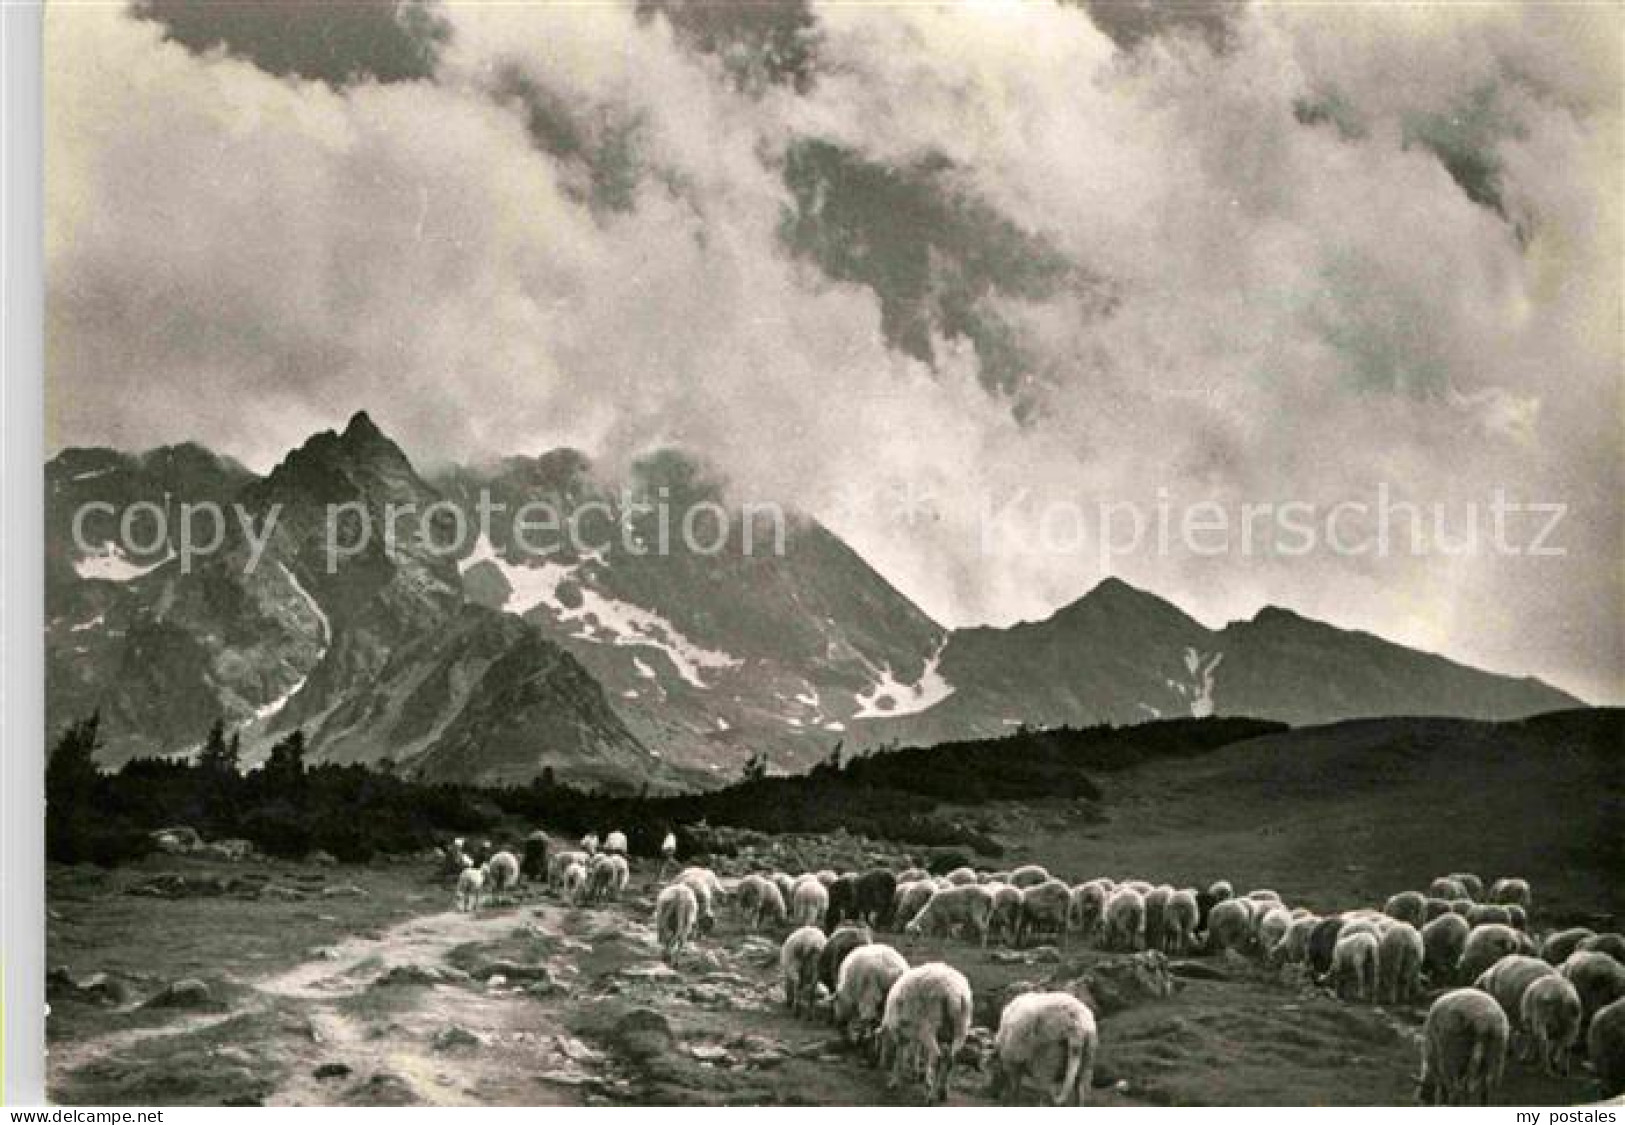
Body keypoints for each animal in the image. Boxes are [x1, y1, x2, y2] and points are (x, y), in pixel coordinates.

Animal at [884, 962, 968, 1105]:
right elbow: (917, 1052)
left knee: (938, 1058)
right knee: (951, 1059)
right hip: (960, 1027)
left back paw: (931, 1097)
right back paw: (943, 1092)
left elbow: (899, 1057)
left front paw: (894, 1082)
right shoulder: (917, 1033)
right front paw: (917, 1073)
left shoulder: (901, 1033)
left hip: (928, 1025)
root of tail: (953, 993)